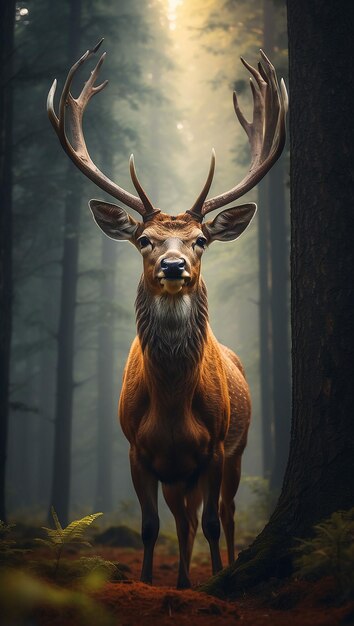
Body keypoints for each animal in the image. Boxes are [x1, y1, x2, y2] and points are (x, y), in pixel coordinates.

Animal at [47, 40, 288, 588]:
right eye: (144, 240)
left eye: (200, 240)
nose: (174, 266)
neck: (174, 407)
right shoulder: (137, 451)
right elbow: (152, 527)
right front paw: (156, 581)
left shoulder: (216, 447)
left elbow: (212, 524)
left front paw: (210, 582)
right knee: (184, 519)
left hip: (237, 452)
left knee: (221, 515)